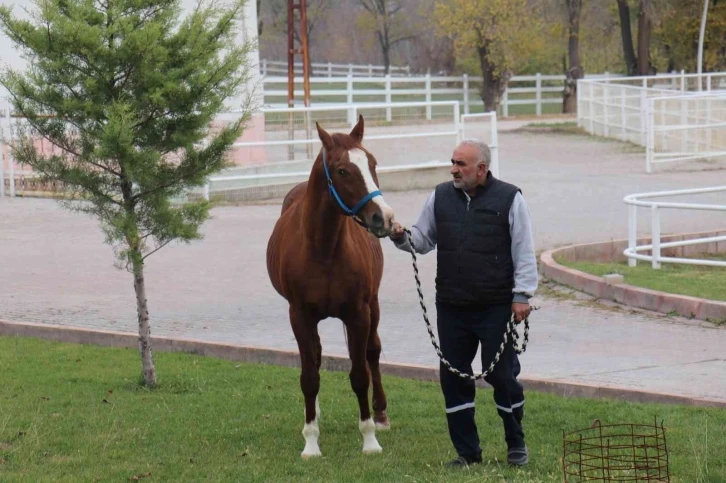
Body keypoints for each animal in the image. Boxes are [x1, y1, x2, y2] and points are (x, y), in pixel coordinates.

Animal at [266, 115, 396, 460]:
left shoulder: (358, 314)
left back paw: (380, 415)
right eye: (342, 171)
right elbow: (309, 377)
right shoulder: (299, 316)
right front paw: (311, 441)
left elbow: (360, 374)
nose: (383, 217)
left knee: (372, 352)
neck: (323, 248)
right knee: (316, 358)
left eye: (372, 163)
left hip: (374, 305)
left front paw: (369, 440)